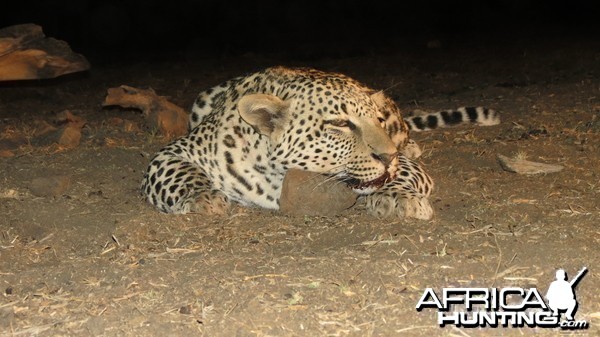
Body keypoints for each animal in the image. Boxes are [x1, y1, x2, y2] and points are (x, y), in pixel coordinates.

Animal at [139, 66, 496, 218]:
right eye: (340, 124)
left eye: (377, 120)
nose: (389, 156)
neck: (276, 175)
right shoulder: (174, 152)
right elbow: (181, 173)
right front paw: (203, 198)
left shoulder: (402, 163)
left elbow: (402, 175)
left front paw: (399, 198)